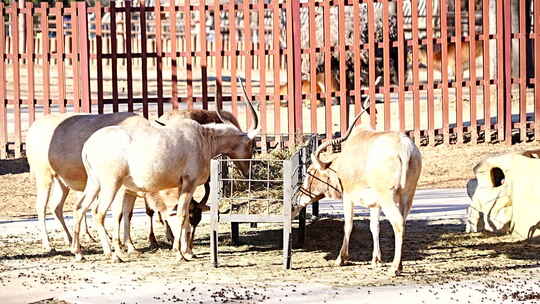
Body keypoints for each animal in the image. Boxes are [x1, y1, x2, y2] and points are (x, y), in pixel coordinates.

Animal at [73, 78, 260, 262]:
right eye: (251, 145)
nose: (248, 172)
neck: (204, 138)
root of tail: (88, 145)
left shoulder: (180, 185)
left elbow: (181, 215)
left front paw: (186, 251)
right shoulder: (189, 183)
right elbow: (182, 214)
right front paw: (179, 253)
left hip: (95, 183)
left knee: (80, 207)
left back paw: (79, 253)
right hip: (111, 184)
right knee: (98, 213)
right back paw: (112, 255)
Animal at [294, 109, 420, 276]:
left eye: (309, 172)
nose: (298, 198)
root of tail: (404, 148)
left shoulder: (348, 197)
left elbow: (348, 225)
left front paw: (341, 258)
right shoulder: (375, 204)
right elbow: (374, 227)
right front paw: (376, 259)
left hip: (388, 197)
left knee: (398, 223)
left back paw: (395, 268)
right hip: (407, 196)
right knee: (403, 221)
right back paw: (398, 265)